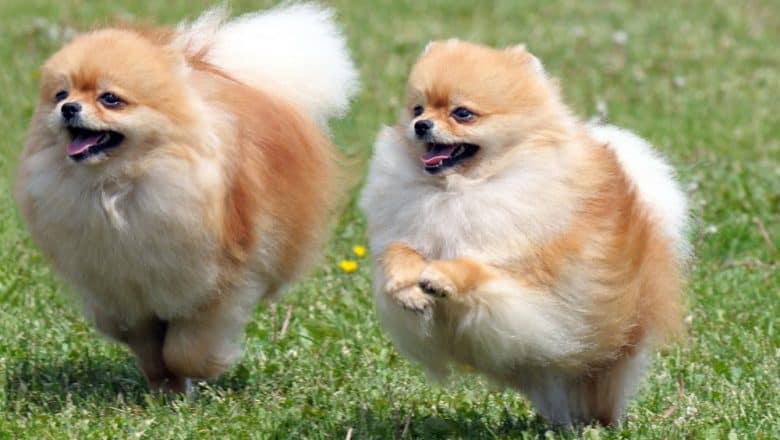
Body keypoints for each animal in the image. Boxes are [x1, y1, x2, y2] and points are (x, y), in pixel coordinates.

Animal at [15, 4, 358, 392]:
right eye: (60, 94)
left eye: (110, 99)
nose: (69, 108)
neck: (115, 189)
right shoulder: (124, 293)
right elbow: (149, 348)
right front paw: (164, 386)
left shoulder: (216, 287)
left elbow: (185, 350)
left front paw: (198, 375)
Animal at [362, 41, 688, 426]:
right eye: (417, 108)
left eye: (462, 113)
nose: (421, 125)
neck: (458, 190)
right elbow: (400, 249)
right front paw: (406, 288)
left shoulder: (529, 279)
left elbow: (477, 267)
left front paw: (440, 277)